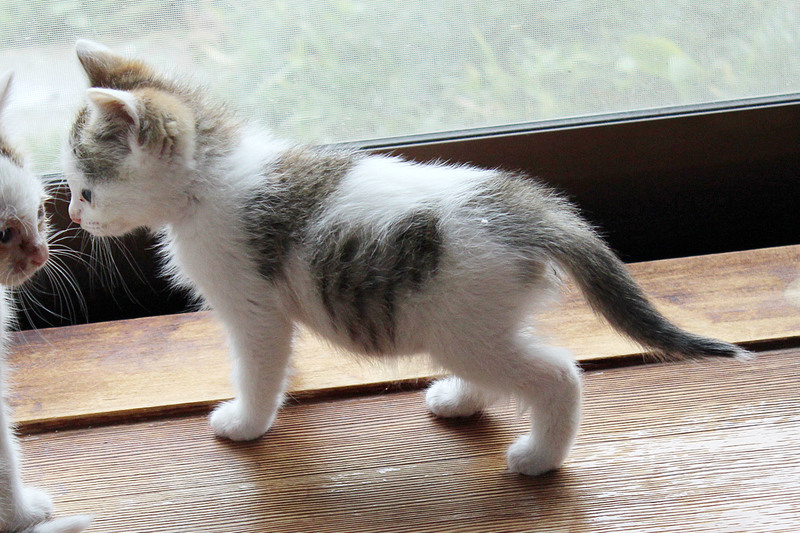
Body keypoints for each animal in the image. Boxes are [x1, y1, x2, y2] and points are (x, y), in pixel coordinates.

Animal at [63, 40, 749, 477]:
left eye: (87, 190)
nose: (71, 216)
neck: (211, 180)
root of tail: (527, 209)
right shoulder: (270, 311)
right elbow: (279, 361)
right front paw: (287, 388)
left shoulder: (251, 307)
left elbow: (257, 366)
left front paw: (248, 420)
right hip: (479, 321)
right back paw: (461, 400)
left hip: (461, 322)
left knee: (557, 375)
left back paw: (539, 458)